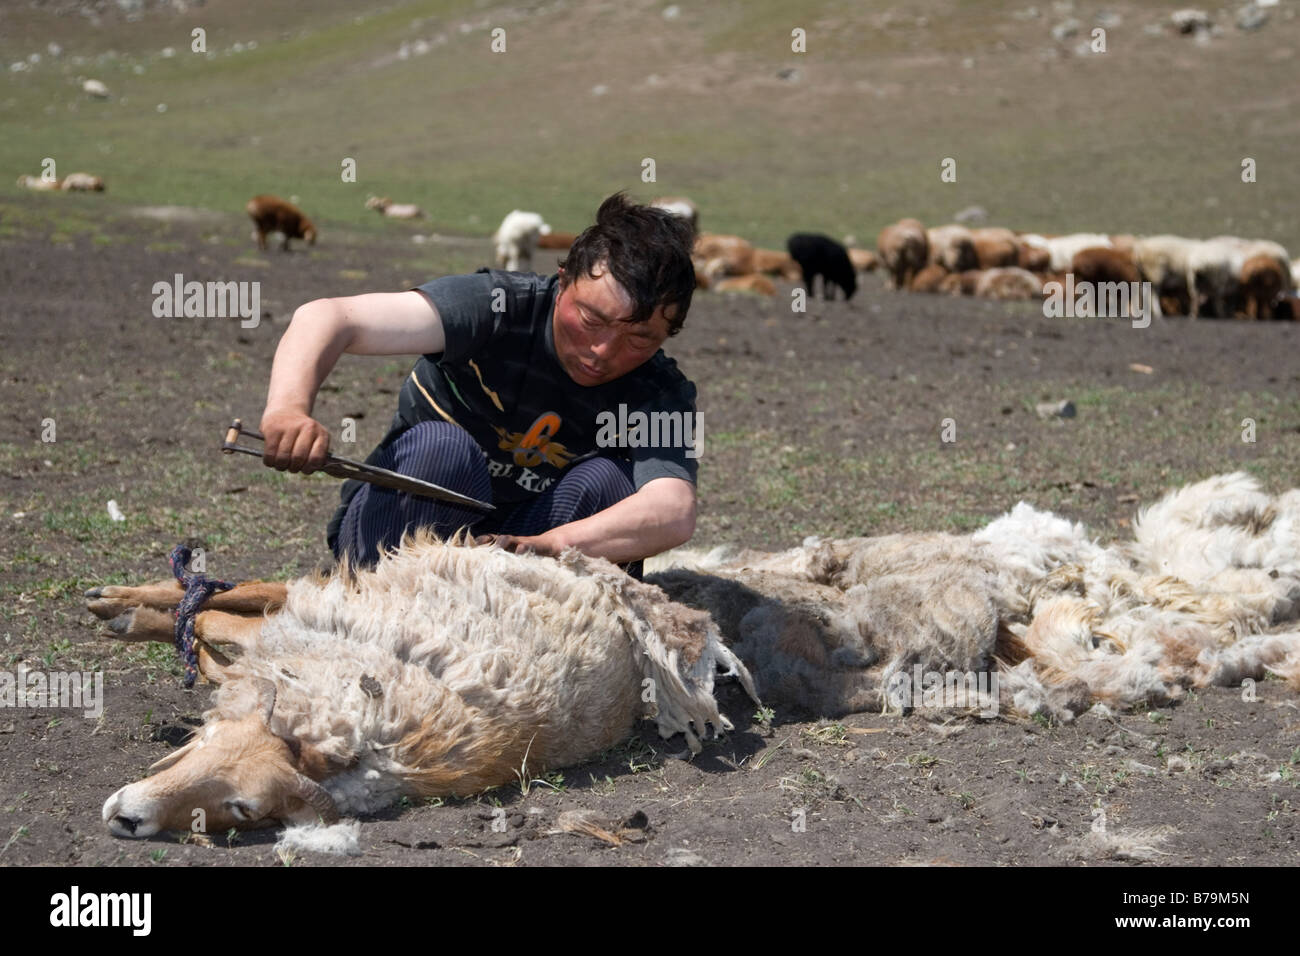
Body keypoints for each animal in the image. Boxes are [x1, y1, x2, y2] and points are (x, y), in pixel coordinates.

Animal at [91, 538, 759, 842]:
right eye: (209, 746)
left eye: (244, 810)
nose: (127, 819)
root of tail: (612, 590)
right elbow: (215, 629)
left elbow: (211, 637)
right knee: (249, 595)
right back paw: (126, 601)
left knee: (234, 610)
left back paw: (136, 609)